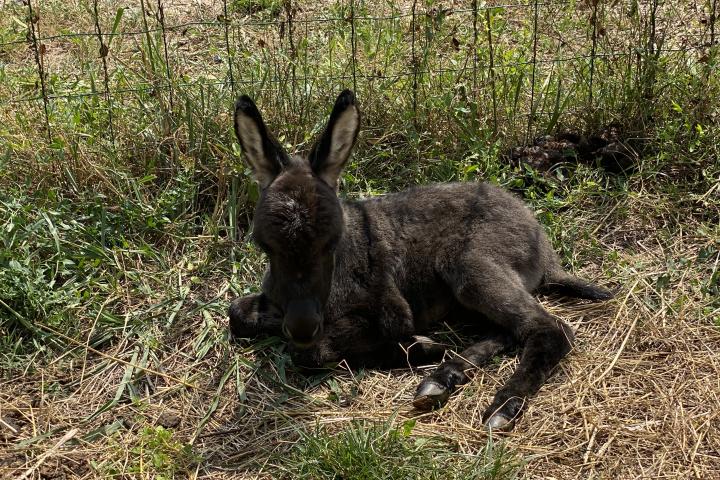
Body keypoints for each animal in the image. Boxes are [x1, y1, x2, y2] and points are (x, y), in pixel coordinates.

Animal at [228, 91, 612, 432]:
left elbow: (311, 354)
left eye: (332, 243)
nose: (302, 325)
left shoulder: (391, 311)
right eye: (265, 246)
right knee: (510, 329)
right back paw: (443, 378)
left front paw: (417, 347)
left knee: (551, 329)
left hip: (472, 268)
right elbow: (237, 314)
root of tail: (542, 243)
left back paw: (502, 406)